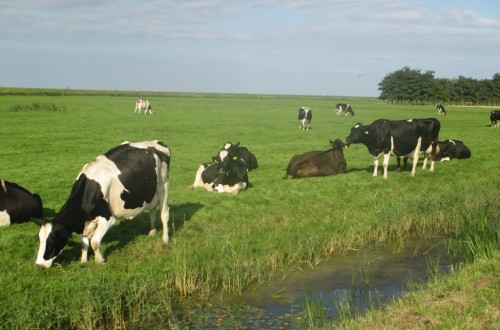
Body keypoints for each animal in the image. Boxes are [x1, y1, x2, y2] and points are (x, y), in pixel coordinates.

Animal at [34, 140, 172, 268]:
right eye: (39, 239)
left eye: (52, 240)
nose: (39, 264)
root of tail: (157, 142)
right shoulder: (85, 223)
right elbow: (84, 243)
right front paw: (83, 261)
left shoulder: (108, 218)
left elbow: (94, 242)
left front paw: (99, 261)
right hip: (150, 193)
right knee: (152, 210)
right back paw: (152, 232)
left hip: (163, 186)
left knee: (164, 214)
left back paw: (165, 239)